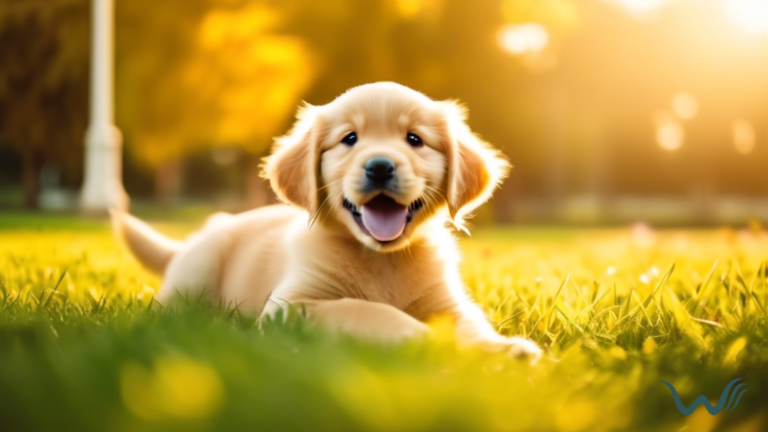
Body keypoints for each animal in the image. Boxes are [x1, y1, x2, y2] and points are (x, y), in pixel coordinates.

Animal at [117, 81, 544, 358]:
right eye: (349, 139)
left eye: (415, 139)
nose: (379, 167)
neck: (381, 260)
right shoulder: (292, 306)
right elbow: (369, 310)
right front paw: (429, 340)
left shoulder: (449, 302)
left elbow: (472, 325)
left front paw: (502, 349)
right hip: (197, 269)